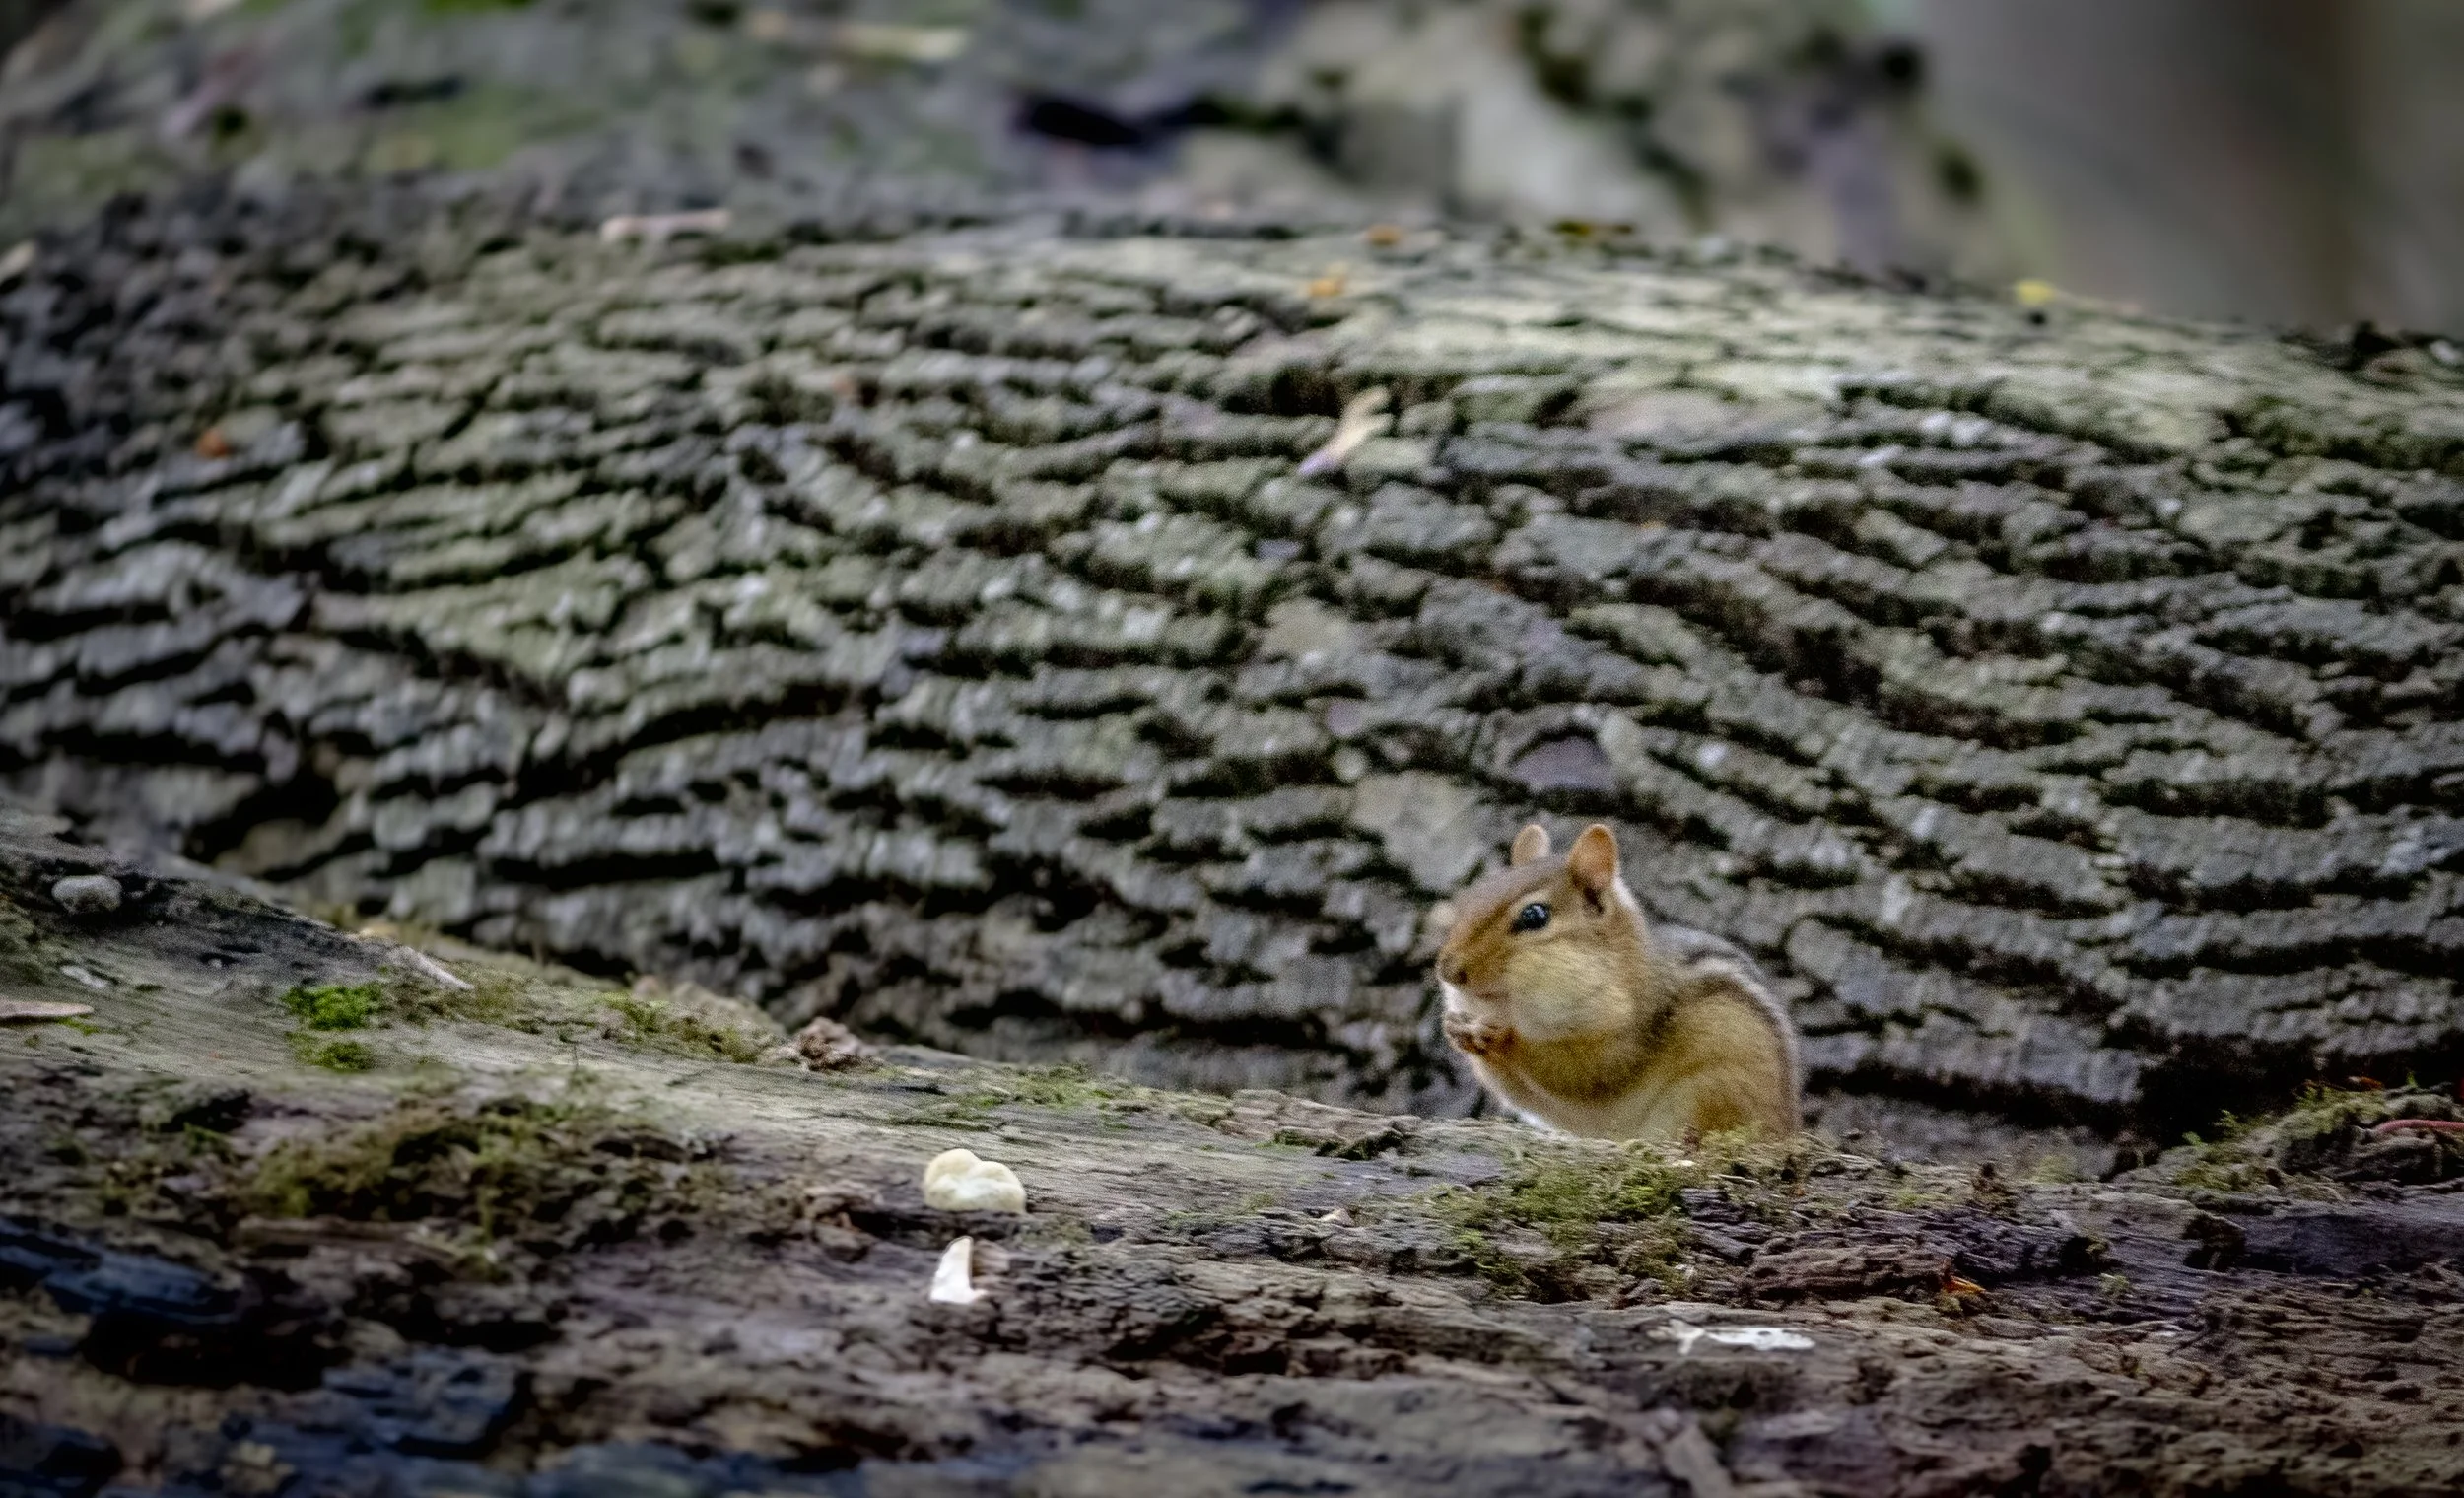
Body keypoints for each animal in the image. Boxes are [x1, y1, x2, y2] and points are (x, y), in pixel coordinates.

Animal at [1435, 822, 1800, 1142]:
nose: (1447, 970)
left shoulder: (1627, 1034)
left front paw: (1504, 1039)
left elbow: (1583, 1070)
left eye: (1534, 915)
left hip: (1715, 1085)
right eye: (1472, 898)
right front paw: (1455, 1029)